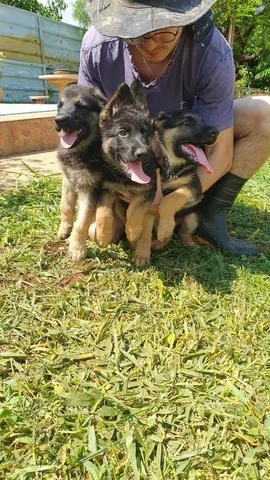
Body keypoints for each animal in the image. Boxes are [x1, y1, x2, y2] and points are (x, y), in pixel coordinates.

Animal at [54, 84, 106, 260]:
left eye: (80, 105)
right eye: (60, 105)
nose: (59, 119)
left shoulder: (90, 188)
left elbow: (82, 221)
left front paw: (77, 248)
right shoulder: (67, 179)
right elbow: (65, 206)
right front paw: (64, 229)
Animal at [95, 80, 159, 264]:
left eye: (144, 133)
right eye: (122, 133)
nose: (143, 153)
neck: (124, 177)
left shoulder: (149, 190)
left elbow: (135, 209)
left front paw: (133, 230)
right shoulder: (106, 188)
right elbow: (104, 211)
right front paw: (103, 235)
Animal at [153, 109, 218, 244]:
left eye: (202, 121)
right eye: (187, 123)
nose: (216, 132)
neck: (172, 164)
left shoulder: (194, 187)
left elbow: (169, 199)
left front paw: (165, 228)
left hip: (193, 217)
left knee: (184, 233)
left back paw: (189, 243)